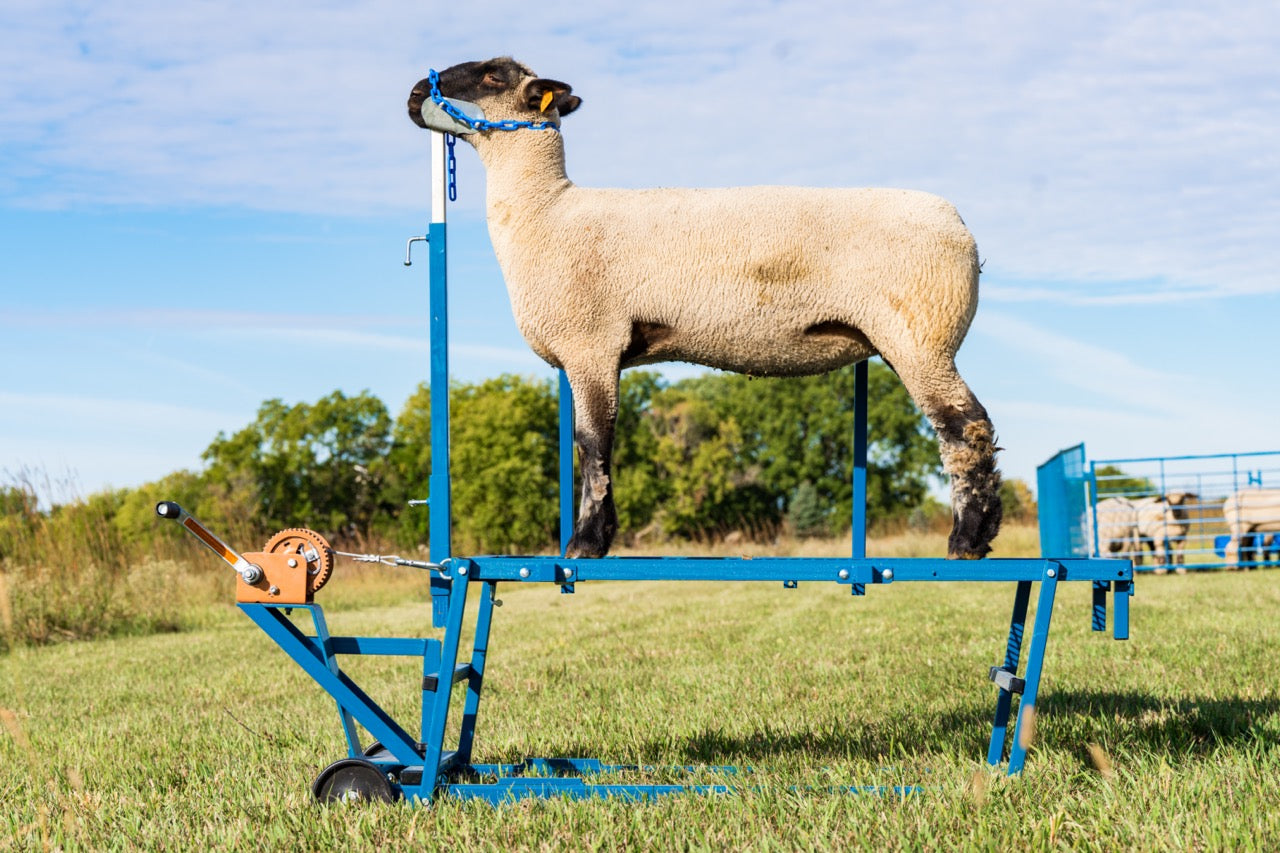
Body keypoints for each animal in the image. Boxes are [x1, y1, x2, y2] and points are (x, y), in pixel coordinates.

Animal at [408, 57, 1003, 560]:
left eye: (492, 76)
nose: (415, 92)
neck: (544, 213)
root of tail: (960, 227)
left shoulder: (592, 343)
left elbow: (593, 445)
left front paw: (586, 544)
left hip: (920, 333)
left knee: (965, 427)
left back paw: (967, 541)